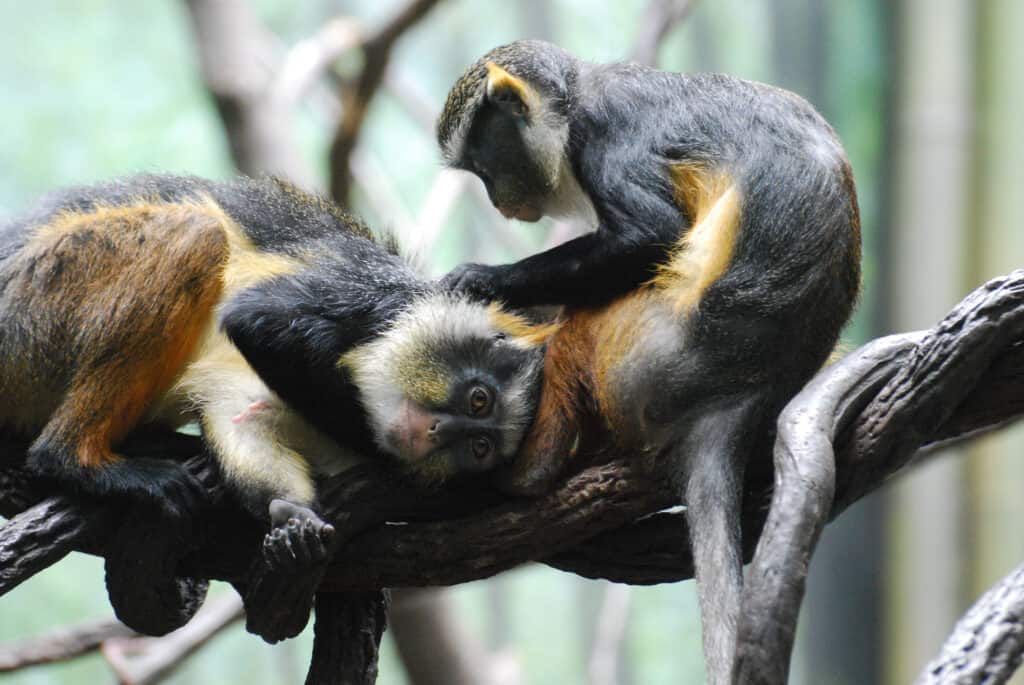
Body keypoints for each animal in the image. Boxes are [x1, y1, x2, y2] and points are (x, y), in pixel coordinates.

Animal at [0, 174, 552, 573]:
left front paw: (291, 518)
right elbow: (260, 319)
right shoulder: (368, 291)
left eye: (479, 446)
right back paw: (76, 459)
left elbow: (245, 422)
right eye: (478, 399)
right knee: (194, 234)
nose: (440, 431)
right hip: (35, 307)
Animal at [436, 40, 860, 679]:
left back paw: (528, 472)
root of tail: (745, 389)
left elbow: (649, 237)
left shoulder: (605, 133)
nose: (499, 201)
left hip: (645, 352)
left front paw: (484, 279)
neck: (576, 97)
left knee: (580, 325)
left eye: (486, 163)